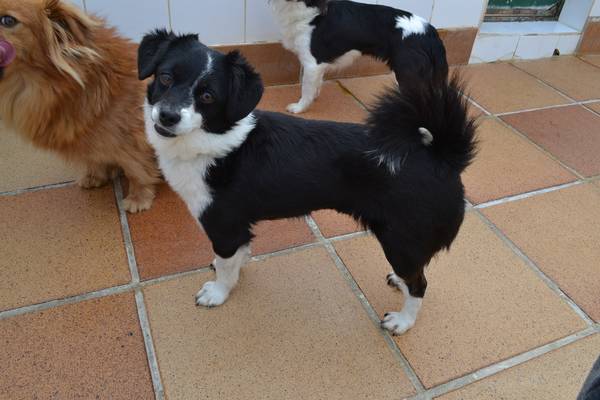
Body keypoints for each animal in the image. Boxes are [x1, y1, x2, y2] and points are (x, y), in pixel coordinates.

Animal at [0, 0, 159, 211]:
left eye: (8, 20)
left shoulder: (131, 140)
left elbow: (136, 168)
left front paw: (138, 197)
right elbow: (93, 160)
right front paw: (94, 175)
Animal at [138, 30, 476, 335]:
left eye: (208, 96)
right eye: (165, 78)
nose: (167, 116)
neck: (215, 141)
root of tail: (442, 157)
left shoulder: (224, 225)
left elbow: (225, 266)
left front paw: (218, 292)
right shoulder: (239, 228)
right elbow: (237, 255)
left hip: (401, 240)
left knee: (419, 284)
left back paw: (403, 321)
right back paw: (398, 281)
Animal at [270, 0, 448, 114]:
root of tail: (431, 34)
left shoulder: (312, 63)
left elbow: (306, 89)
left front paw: (299, 108)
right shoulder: (318, 67)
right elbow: (316, 85)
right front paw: (315, 95)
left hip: (408, 77)